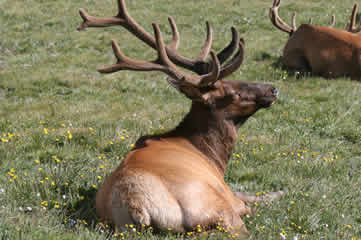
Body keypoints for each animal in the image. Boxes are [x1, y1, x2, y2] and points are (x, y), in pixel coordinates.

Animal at [77, 0, 282, 237]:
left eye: (236, 80)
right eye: (234, 93)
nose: (273, 89)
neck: (214, 157)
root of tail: (135, 204)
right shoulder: (228, 193)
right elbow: (249, 197)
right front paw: (279, 192)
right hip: (218, 208)